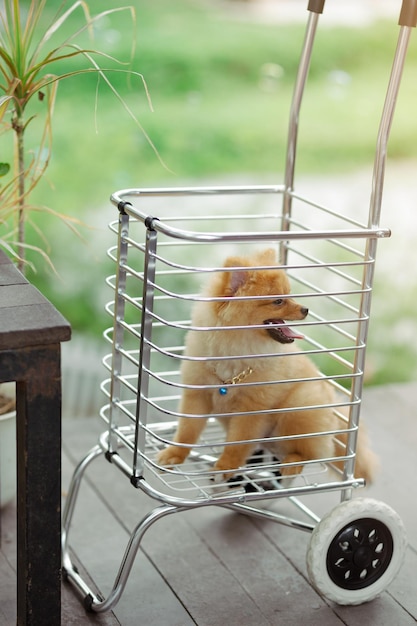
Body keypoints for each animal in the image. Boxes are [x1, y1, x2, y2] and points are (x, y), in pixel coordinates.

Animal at [157, 246, 376, 480]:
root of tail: (334, 409)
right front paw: (174, 454)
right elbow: (187, 430)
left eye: (289, 294)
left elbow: (237, 443)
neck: (233, 352)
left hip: (298, 408)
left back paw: (293, 463)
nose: (305, 309)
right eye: (278, 301)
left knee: (310, 452)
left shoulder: (252, 409)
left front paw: (225, 466)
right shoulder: (198, 394)